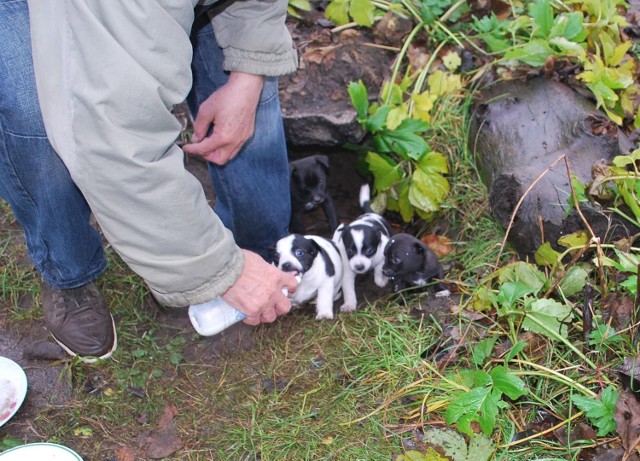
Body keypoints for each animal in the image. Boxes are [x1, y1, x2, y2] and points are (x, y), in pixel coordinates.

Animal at [332, 183, 392, 312]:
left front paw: (380, 281)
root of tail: (370, 212)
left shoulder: (382, 254)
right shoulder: (347, 269)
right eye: (349, 251)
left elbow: (379, 269)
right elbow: (348, 289)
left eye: (369, 251)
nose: (359, 267)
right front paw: (349, 304)